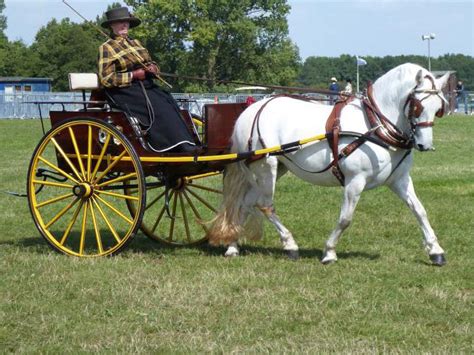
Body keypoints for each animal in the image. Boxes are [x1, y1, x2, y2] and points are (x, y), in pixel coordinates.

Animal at [209, 62, 450, 266]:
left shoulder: (399, 180)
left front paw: (435, 251)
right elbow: (345, 219)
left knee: (245, 204)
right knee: (264, 204)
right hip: (266, 168)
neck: (375, 125)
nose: (424, 145)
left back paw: (233, 245)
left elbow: (419, 210)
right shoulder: (355, 181)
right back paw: (289, 245)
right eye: (418, 106)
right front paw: (329, 251)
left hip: (272, 169)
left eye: (439, 107)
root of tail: (250, 110)